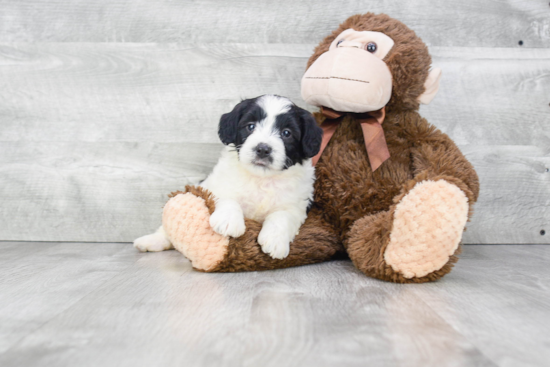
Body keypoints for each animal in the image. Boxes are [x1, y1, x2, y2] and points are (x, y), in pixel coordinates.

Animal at [135, 96, 324, 260]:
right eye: (250, 126)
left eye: (286, 133)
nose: (263, 149)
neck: (261, 178)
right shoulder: (215, 185)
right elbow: (227, 199)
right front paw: (228, 222)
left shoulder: (295, 205)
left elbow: (282, 217)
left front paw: (275, 241)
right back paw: (151, 241)